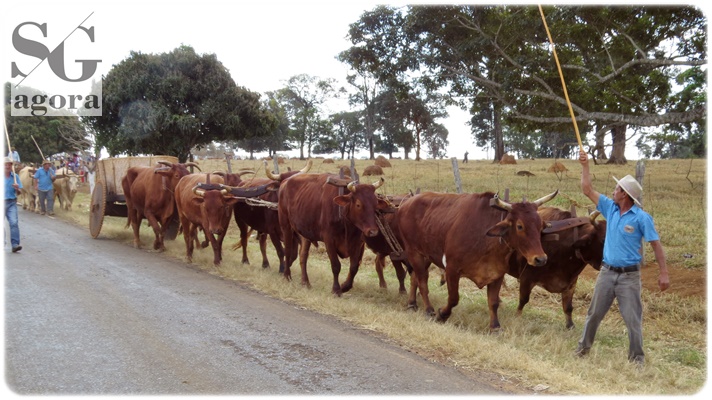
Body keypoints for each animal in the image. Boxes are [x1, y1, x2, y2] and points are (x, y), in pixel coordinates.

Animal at [393, 190, 558, 331]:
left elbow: (493, 302)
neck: (485, 238)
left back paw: (412, 304)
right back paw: (428, 309)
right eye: (520, 226)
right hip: (414, 252)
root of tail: (406, 203)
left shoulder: (497, 273)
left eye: (541, 226)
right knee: (422, 281)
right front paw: (442, 315)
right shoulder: (452, 269)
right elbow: (453, 298)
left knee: (415, 277)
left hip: (426, 255)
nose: (540, 259)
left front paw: (495, 326)